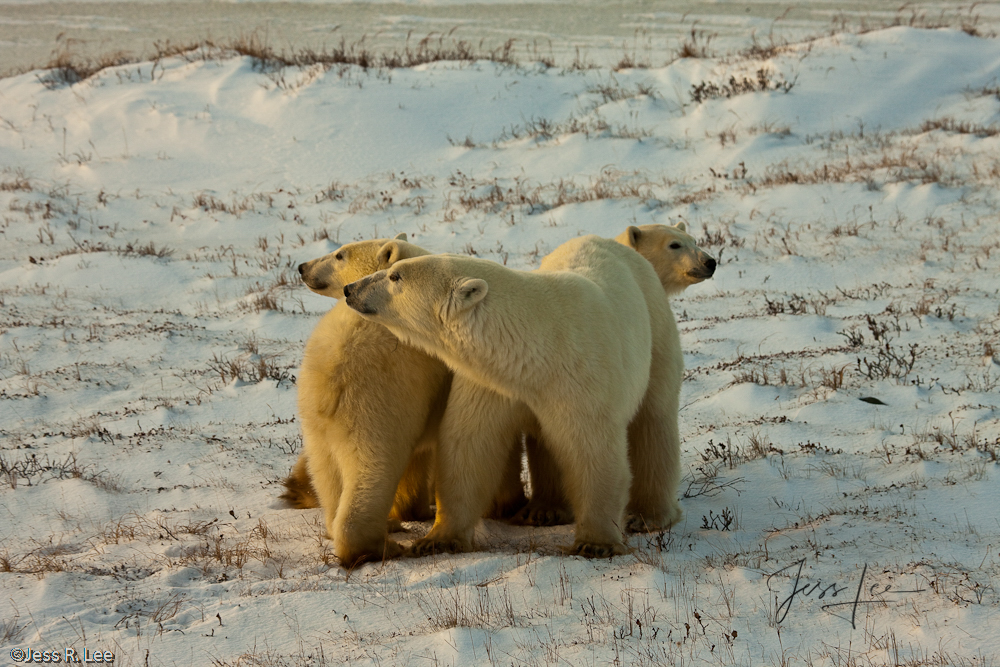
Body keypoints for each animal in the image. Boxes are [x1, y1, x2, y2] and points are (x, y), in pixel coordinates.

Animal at [290, 232, 450, 568]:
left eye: (339, 254)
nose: (302, 266)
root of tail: (326, 382)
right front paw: (419, 509)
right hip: (374, 405)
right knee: (374, 467)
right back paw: (379, 544)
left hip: (317, 425)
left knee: (327, 475)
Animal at [344, 235, 672, 560]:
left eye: (395, 276)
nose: (351, 289)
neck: (538, 349)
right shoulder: (495, 384)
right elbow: (470, 443)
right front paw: (438, 539)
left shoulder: (582, 379)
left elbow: (593, 449)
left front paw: (595, 543)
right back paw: (544, 509)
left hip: (656, 330)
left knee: (654, 420)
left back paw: (647, 515)